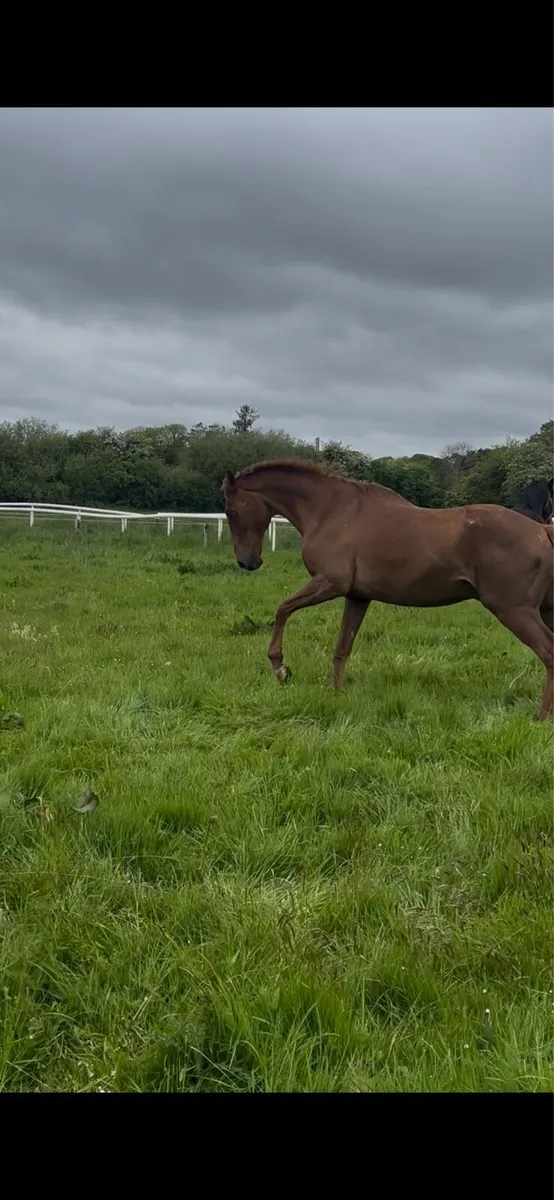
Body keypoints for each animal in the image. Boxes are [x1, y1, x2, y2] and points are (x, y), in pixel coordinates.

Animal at [222, 459, 554, 721]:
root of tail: (541, 530)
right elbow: (342, 647)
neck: (331, 510)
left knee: (549, 652)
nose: (247, 562)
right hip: (542, 610)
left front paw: (280, 668)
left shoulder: (329, 583)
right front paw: (336, 691)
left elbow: (283, 609)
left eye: (231, 511)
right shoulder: (357, 596)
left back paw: (541, 717)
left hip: (514, 610)